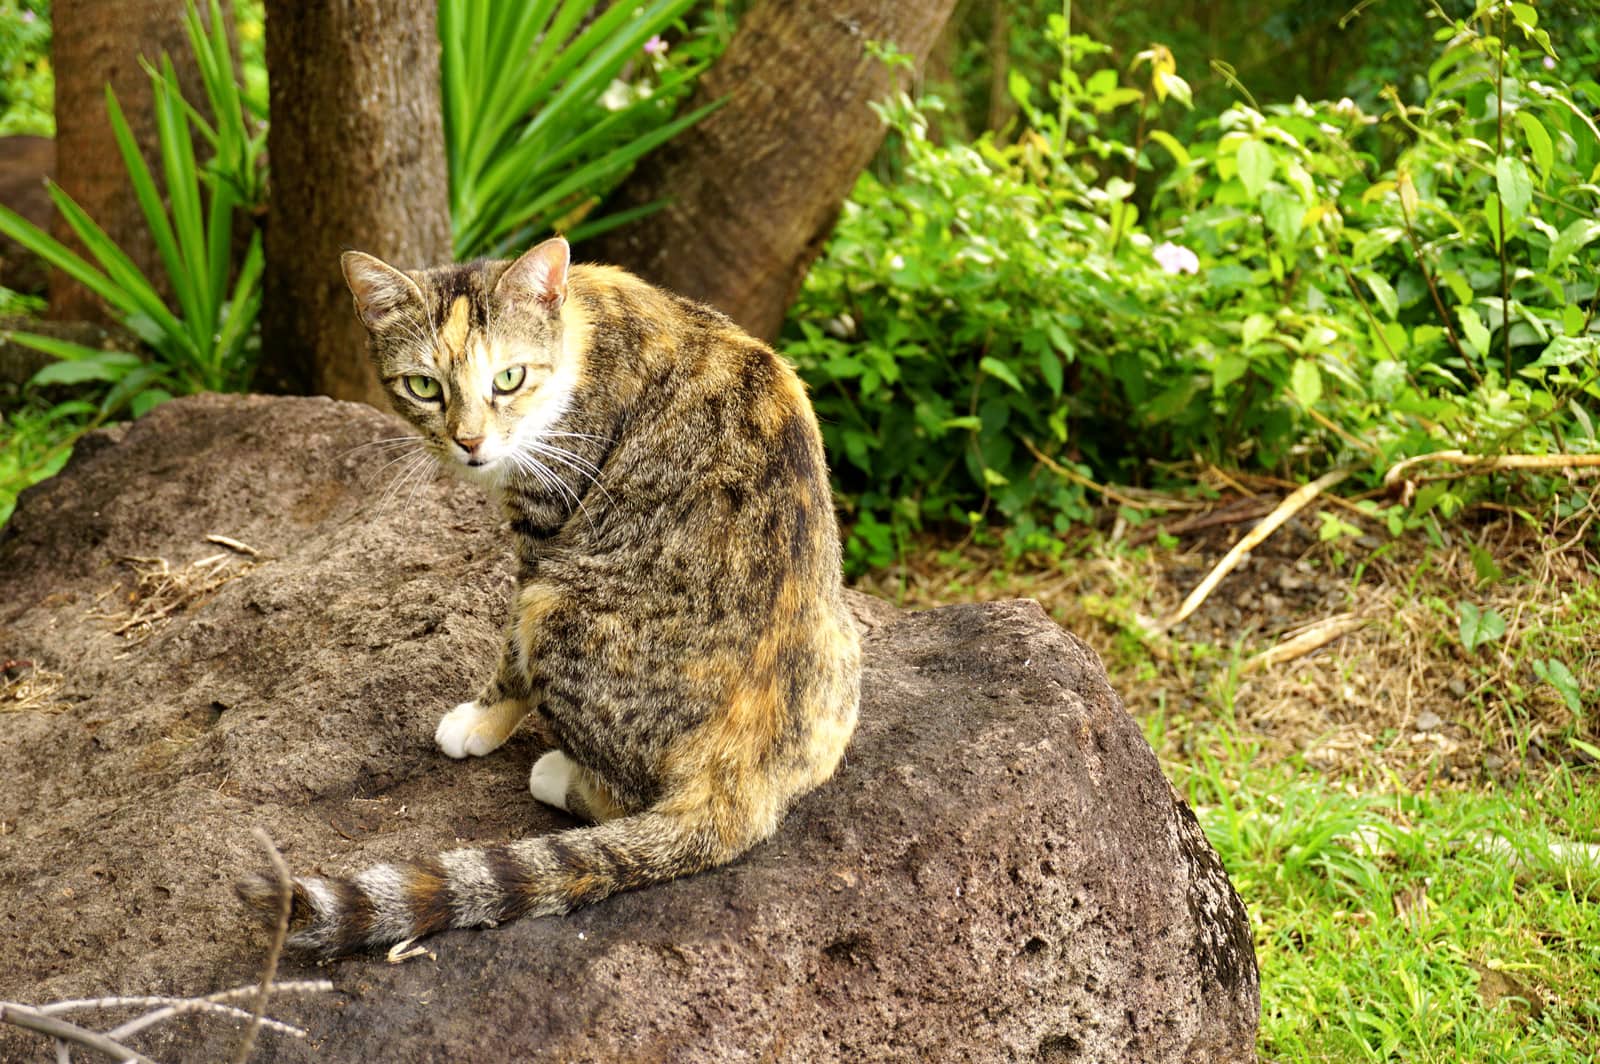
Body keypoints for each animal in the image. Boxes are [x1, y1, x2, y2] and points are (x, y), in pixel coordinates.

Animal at [236, 236, 864, 947]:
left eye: (508, 378)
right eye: (424, 386)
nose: (470, 441)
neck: (579, 335)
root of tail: (743, 773)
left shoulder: (545, 525)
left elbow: (509, 653)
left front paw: (478, 722)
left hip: (559, 606)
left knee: (620, 797)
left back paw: (558, 774)